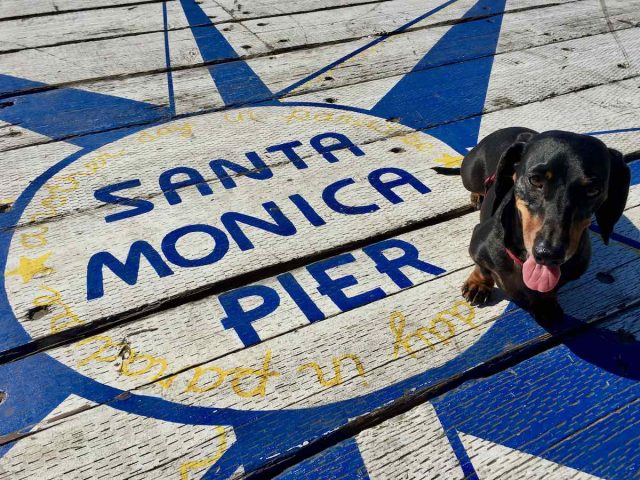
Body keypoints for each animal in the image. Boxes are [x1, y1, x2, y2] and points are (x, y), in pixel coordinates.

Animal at [460, 127, 632, 318]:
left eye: (593, 190)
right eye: (535, 180)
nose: (549, 255)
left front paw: (547, 304)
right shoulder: (478, 245)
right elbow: (482, 267)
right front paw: (478, 284)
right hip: (469, 176)